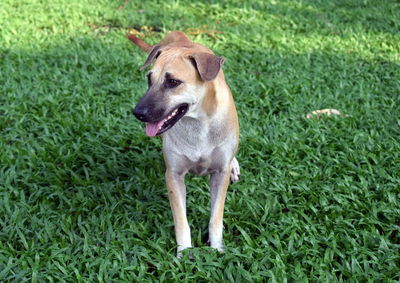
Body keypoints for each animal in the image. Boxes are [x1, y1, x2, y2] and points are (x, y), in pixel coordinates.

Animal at [129, 31, 241, 258]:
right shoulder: (173, 175)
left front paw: (216, 248)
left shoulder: (220, 174)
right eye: (149, 78)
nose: (138, 113)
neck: (197, 123)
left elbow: (216, 217)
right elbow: (181, 220)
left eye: (173, 82)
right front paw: (184, 253)